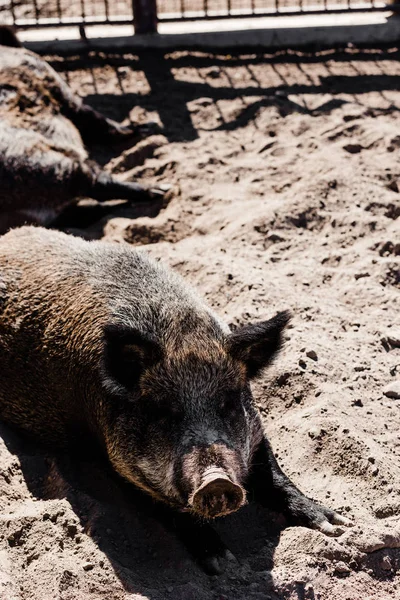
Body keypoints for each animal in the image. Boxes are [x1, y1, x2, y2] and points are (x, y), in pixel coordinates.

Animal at [0, 27, 166, 234]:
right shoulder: (61, 91)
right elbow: (99, 121)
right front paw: (150, 127)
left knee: (87, 211)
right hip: (49, 166)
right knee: (98, 184)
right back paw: (161, 190)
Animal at [0, 229, 352, 572]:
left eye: (227, 402)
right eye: (164, 411)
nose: (217, 481)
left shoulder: (255, 430)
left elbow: (273, 473)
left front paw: (337, 525)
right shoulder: (116, 464)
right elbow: (171, 510)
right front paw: (225, 564)